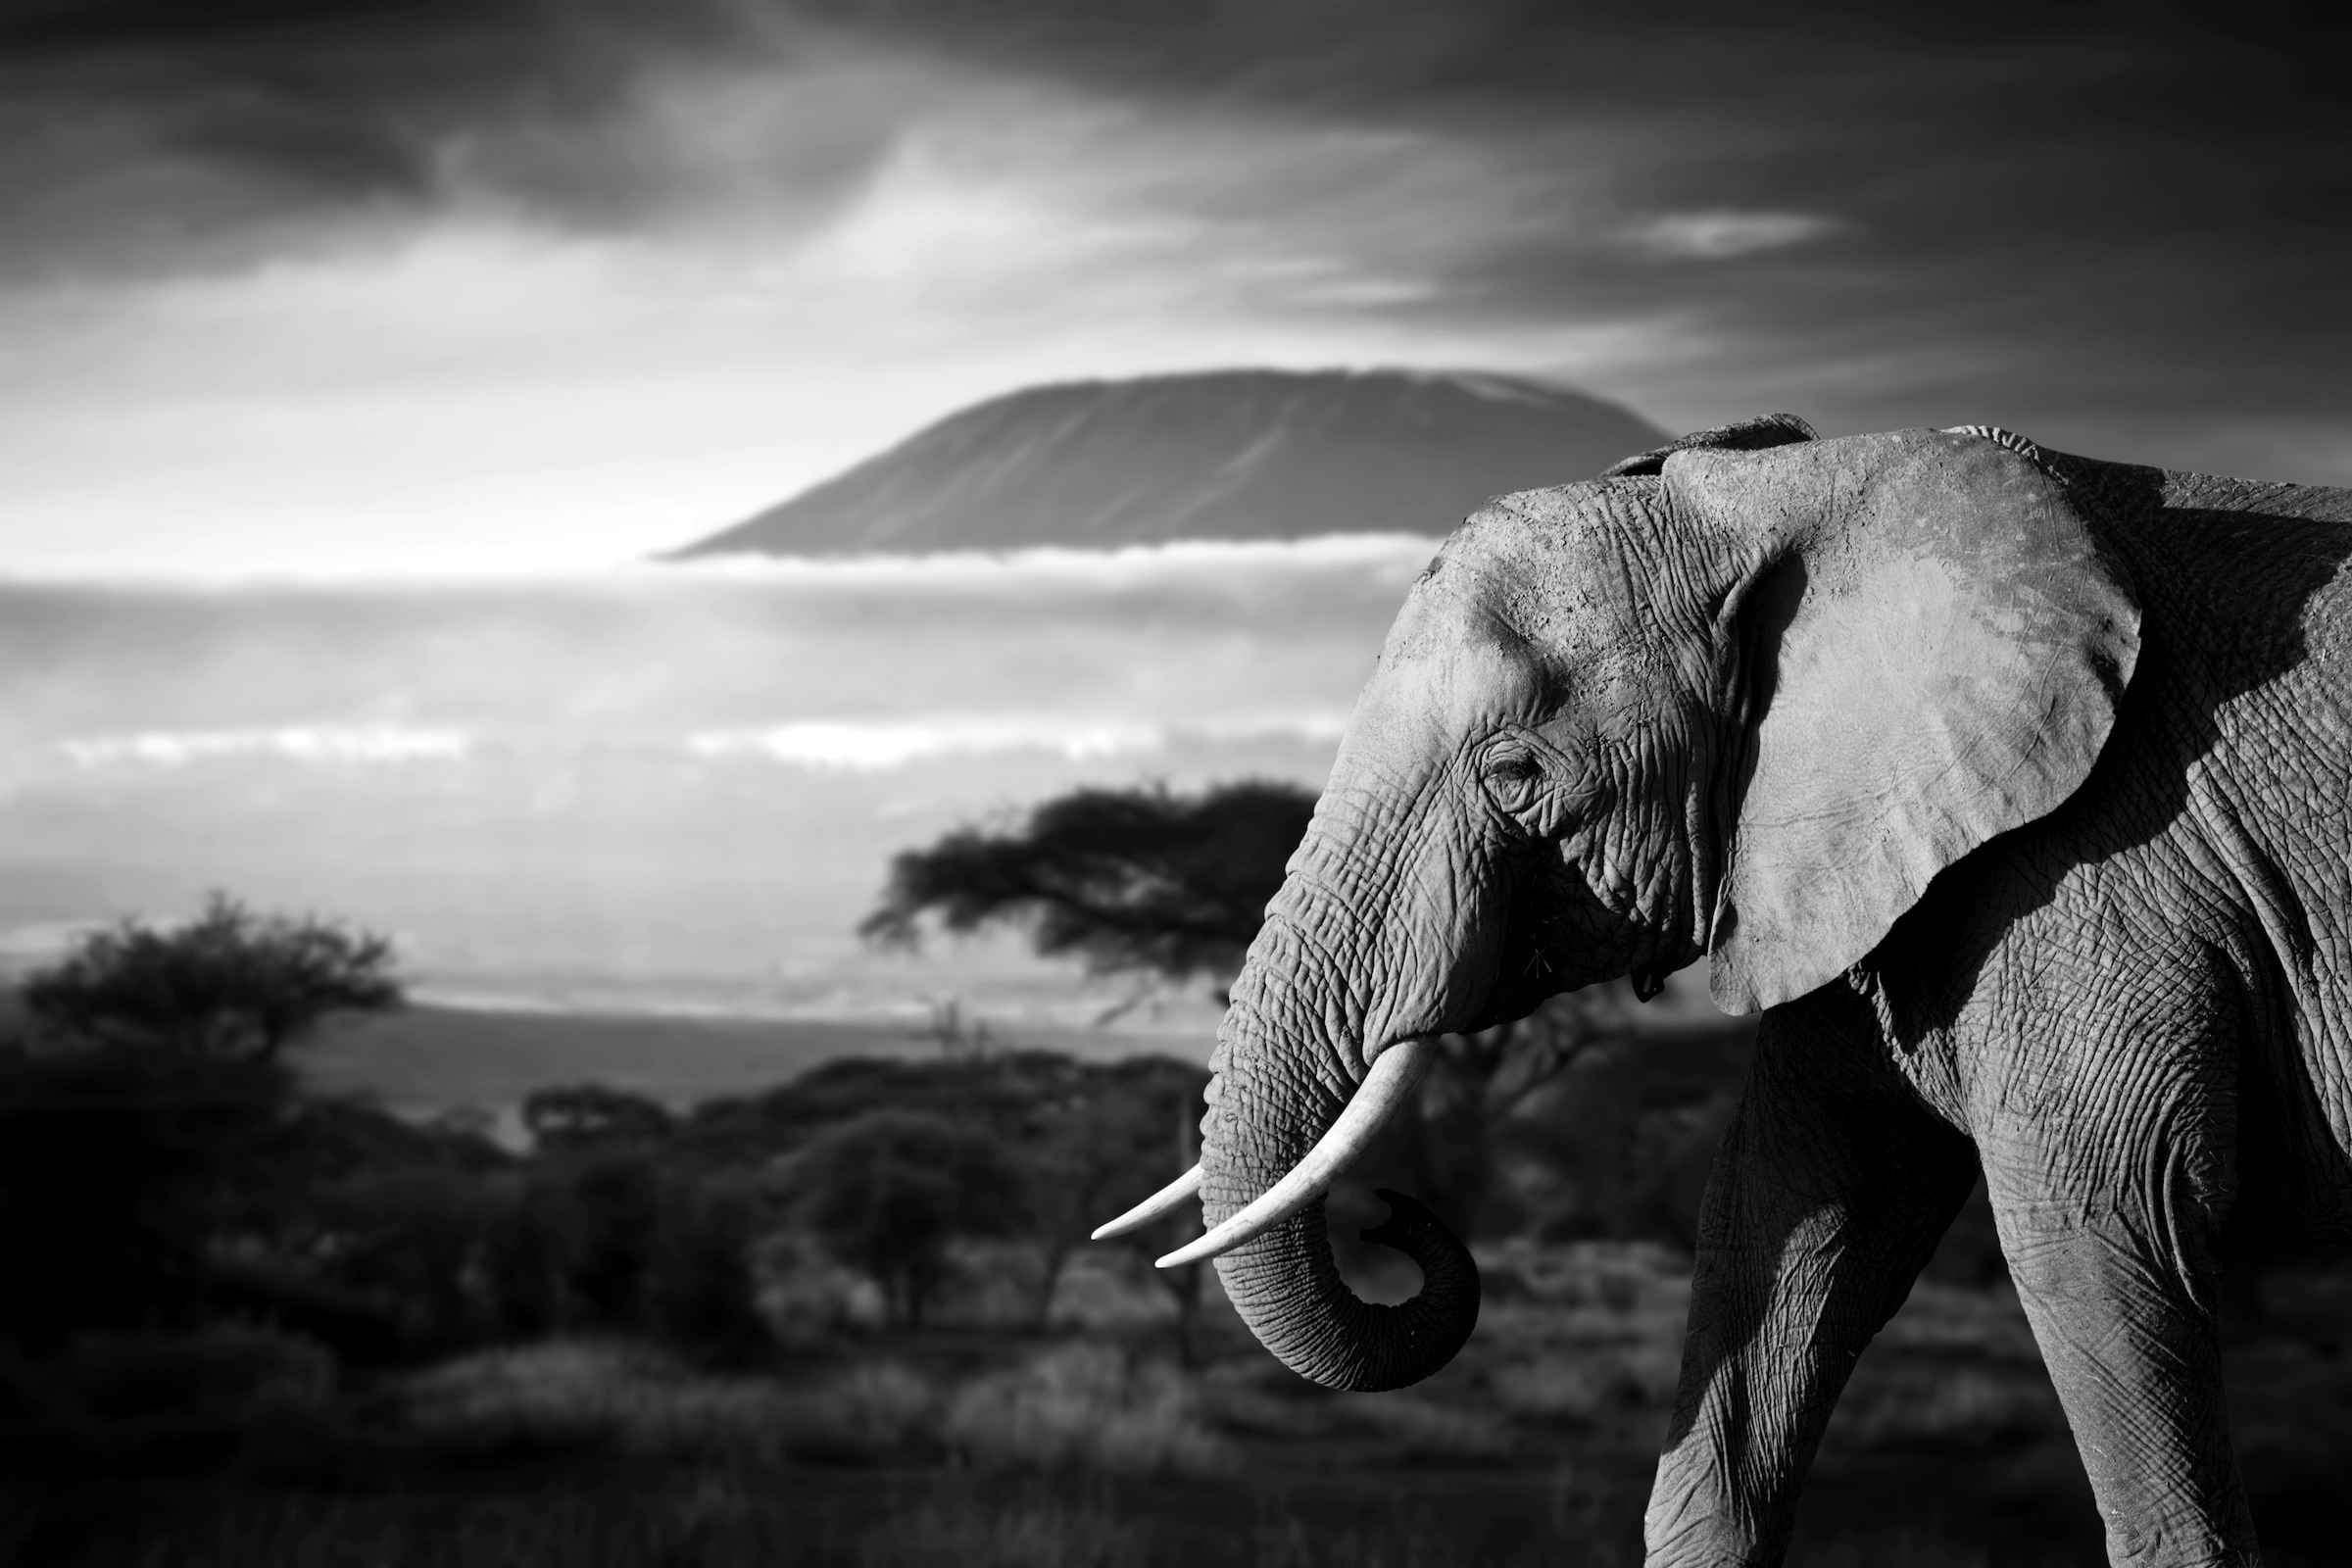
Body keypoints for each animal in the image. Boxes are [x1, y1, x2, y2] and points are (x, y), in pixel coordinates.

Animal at [1094, 416, 2352, 1566]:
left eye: (1516, 776)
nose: (1389, 1218)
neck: (1783, 495)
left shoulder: (2111, 855)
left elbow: (2099, 1222)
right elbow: (1790, 1216)